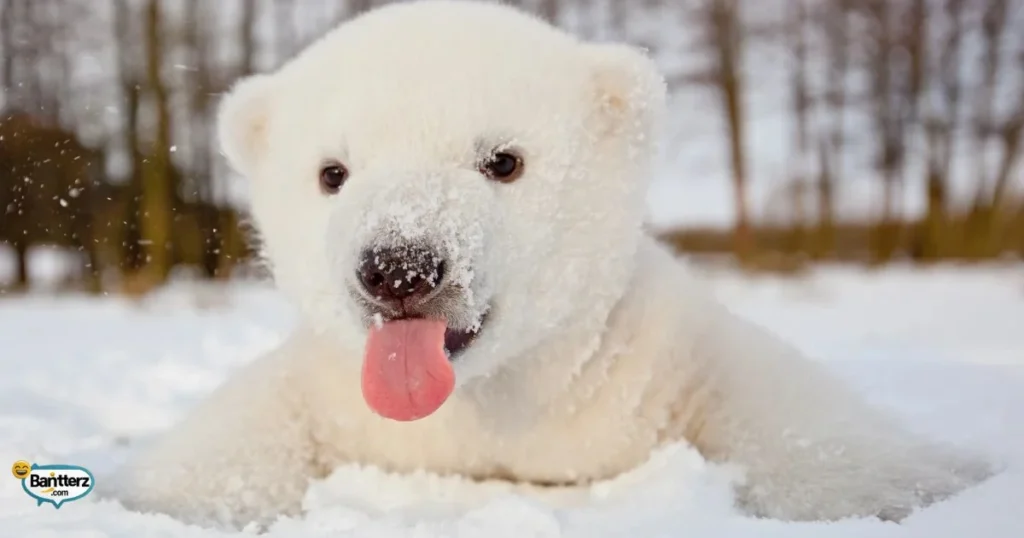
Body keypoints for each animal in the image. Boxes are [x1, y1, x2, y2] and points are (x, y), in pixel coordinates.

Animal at [106, 0, 992, 530]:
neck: (489, 402)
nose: (400, 266)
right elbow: (231, 443)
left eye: (503, 160)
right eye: (332, 172)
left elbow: (794, 419)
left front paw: (929, 481)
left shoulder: (654, 357)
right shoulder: (335, 393)